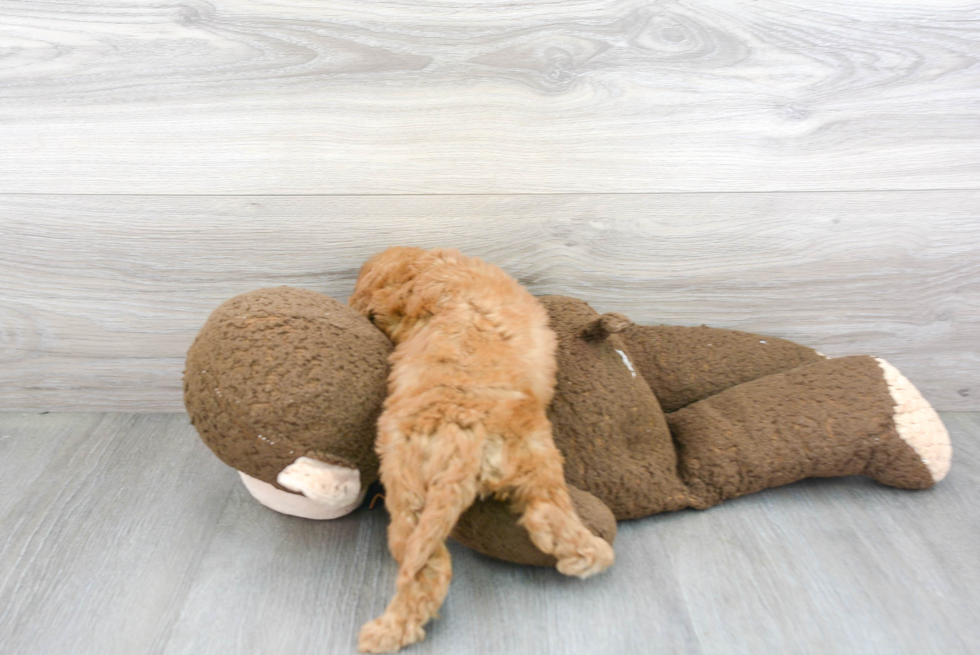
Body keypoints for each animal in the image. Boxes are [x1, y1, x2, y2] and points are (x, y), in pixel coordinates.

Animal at [350, 249, 612, 652]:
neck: (425, 266)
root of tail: (463, 441)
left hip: (407, 487)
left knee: (425, 564)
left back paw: (386, 632)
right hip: (534, 455)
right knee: (544, 514)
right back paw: (589, 555)